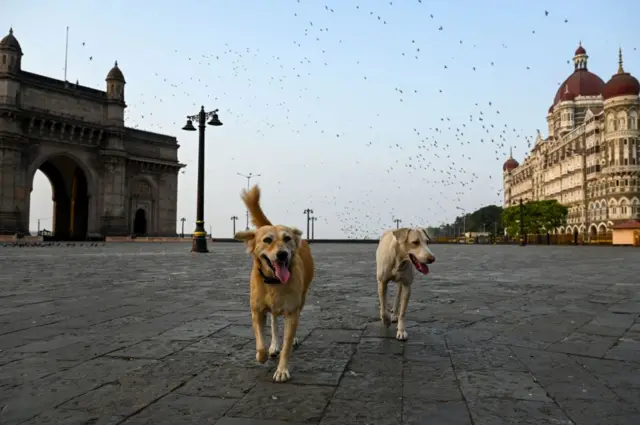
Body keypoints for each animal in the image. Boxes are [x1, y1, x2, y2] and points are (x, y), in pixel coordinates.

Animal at [235, 185, 316, 380]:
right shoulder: (257, 311)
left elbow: (287, 346)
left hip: (302, 298)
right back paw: (273, 345)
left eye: (287, 239)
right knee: (273, 322)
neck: (274, 282)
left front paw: (282, 370)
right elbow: (260, 343)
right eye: (267, 240)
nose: (282, 254)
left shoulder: (292, 312)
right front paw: (263, 354)